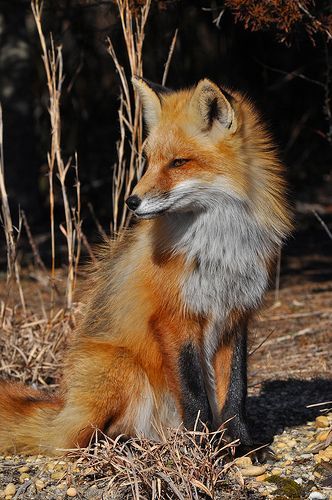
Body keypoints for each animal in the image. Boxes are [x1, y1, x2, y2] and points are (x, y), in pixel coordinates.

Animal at [0, 76, 290, 456]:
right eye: (149, 160)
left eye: (179, 162)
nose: (131, 201)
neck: (219, 247)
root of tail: (63, 405)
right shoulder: (173, 317)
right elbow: (193, 392)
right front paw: (202, 448)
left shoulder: (237, 314)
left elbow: (236, 390)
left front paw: (241, 444)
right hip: (121, 368)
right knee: (77, 441)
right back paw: (125, 446)